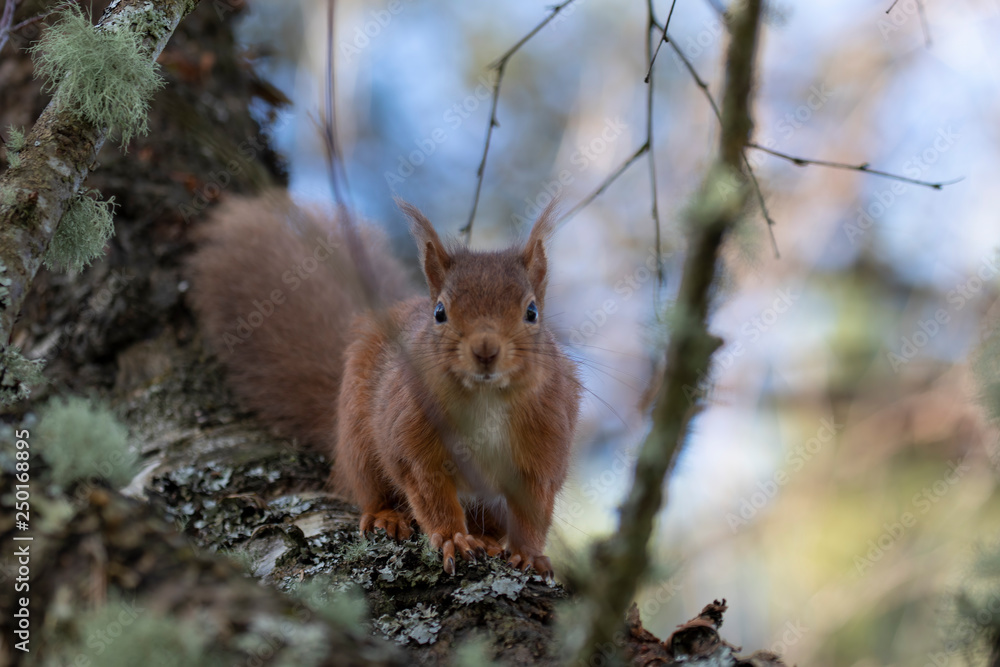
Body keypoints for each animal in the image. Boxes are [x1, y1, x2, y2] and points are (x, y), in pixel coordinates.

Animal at [188, 192, 581, 577]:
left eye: (532, 312)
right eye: (440, 312)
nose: (486, 350)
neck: (485, 398)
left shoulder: (545, 442)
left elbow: (534, 509)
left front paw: (528, 553)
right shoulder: (412, 435)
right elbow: (430, 492)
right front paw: (453, 539)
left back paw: (488, 538)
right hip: (359, 444)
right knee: (371, 488)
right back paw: (387, 517)